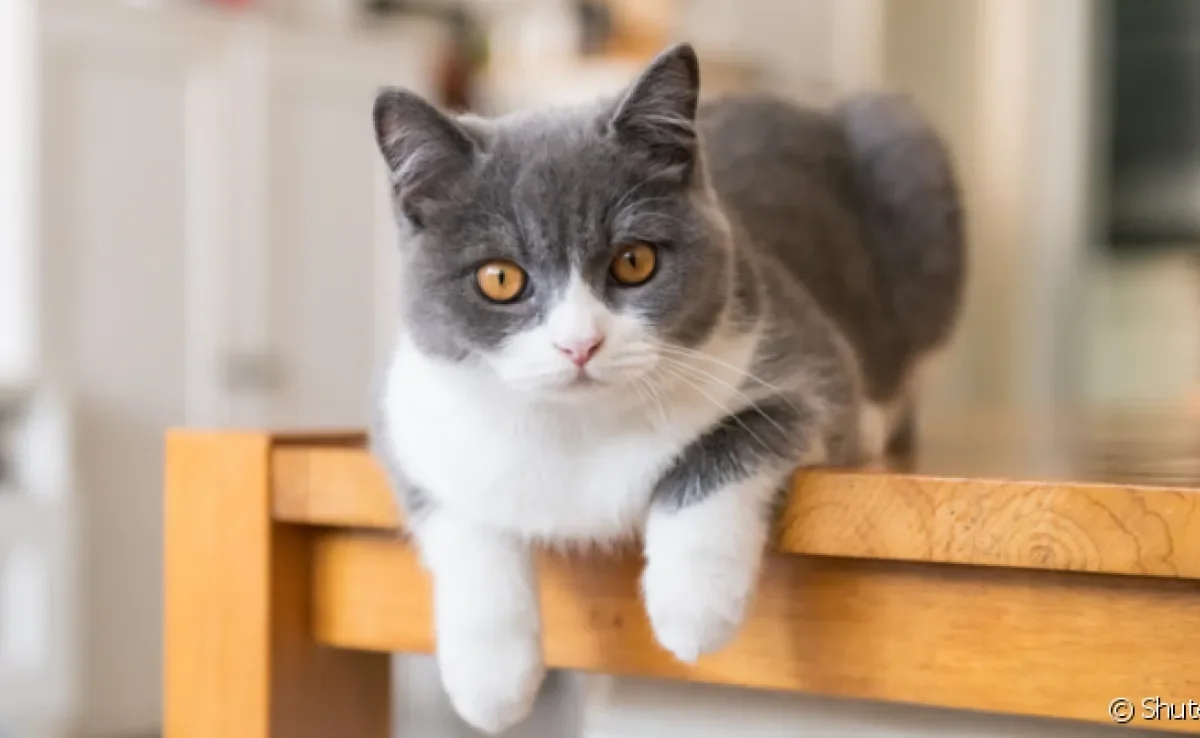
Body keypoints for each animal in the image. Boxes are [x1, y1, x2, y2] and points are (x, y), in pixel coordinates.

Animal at [369, 43, 960, 734]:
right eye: (499, 278)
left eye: (634, 261)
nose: (580, 344)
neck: (580, 430)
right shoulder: (405, 412)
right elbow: (456, 513)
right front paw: (490, 679)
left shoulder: (811, 364)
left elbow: (734, 437)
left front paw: (693, 604)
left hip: (905, 152)